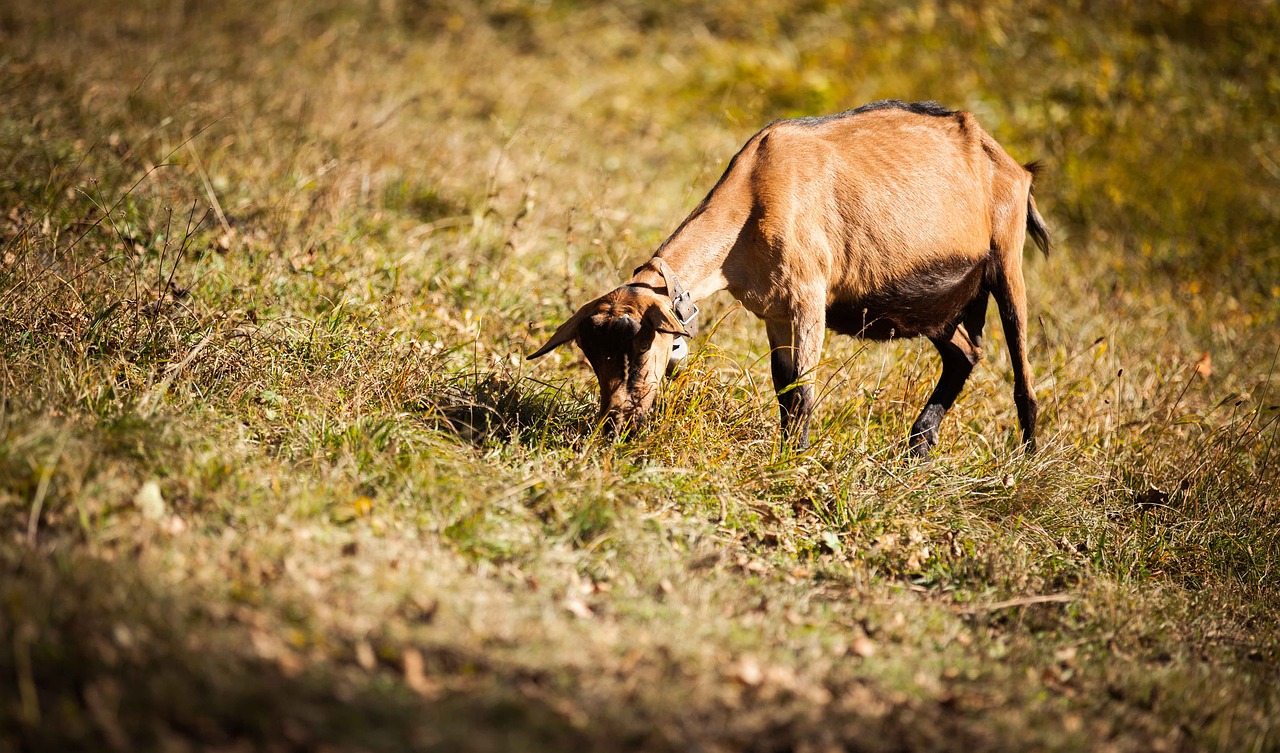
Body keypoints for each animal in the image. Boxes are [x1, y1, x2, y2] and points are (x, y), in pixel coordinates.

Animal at [529, 98, 1049, 453]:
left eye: (640, 347)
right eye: (592, 358)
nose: (616, 424)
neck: (756, 193)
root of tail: (1012, 165)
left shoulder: (809, 298)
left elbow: (803, 389)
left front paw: (795, 460)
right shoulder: (774, 312)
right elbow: (783, 386)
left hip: (1007, 260)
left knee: (1022, 376)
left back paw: (1024, 463)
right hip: (941, 304)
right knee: (964, 354)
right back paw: (917, 449)